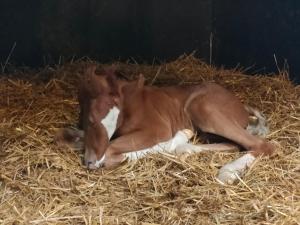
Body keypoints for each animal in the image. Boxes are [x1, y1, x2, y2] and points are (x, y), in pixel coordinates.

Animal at [55, 66, 274, 185]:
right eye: (88, 118)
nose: (90, 161)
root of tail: (241, 107)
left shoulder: (157, 128)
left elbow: (110, 150)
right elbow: (68, 137)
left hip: (203, 108)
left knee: (263, 145)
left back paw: (227, 172)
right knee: (234, 144)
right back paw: (186, 147)